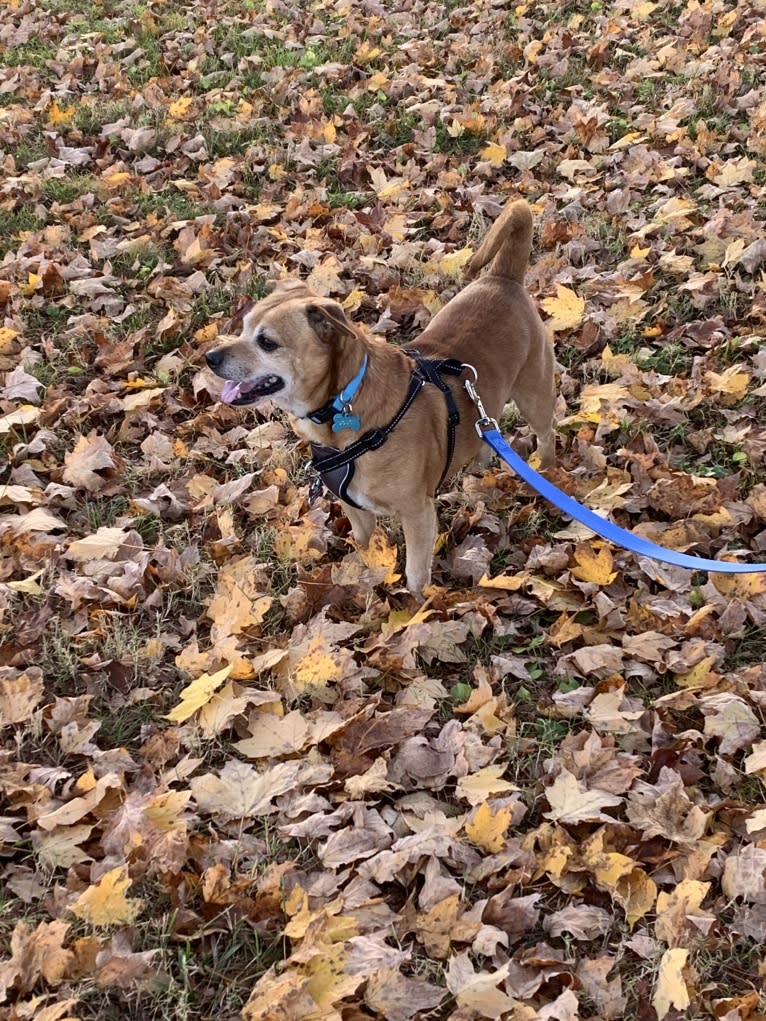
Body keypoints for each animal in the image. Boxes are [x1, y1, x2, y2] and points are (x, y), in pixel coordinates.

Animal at [207, 199, 555, 596]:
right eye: (243, 326)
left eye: (266, 342)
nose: (210, 358)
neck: (343, 405)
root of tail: (504, 279)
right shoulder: (356, 509)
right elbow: (364, 547)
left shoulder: (418, 514)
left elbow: (416, 575)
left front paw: (417, 607)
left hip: (534, 394)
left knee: (546, 433)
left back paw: (547, 469)